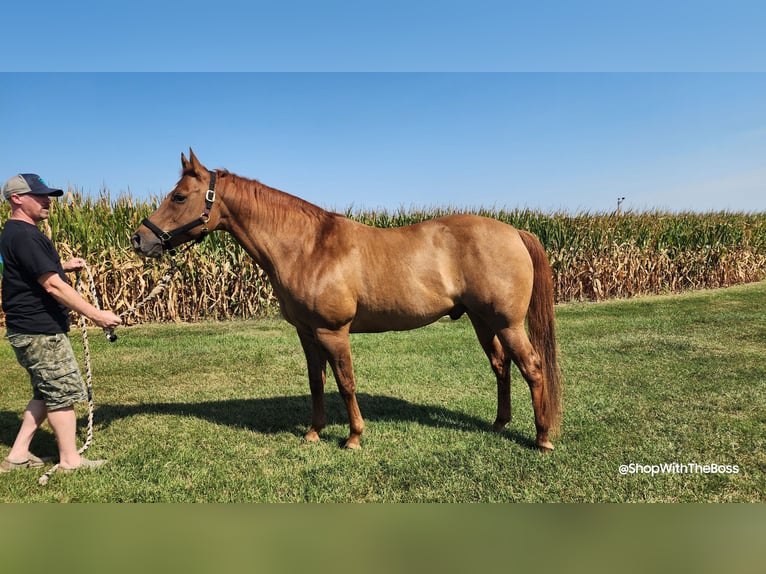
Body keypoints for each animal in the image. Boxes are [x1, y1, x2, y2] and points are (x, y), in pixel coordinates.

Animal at [132, 150, 564, 454]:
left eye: (179, 196)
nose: (140, 239)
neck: (308, 247)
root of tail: (514, 231)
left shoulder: (333, 331)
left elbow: (346, 382)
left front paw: (354, 438)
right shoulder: (308, 334)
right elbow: (317, 382)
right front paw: (313, 432)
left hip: (508, 323)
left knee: (532, 368)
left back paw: (542, 438)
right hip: (481, 320)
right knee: (501, 366)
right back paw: (499, 423)